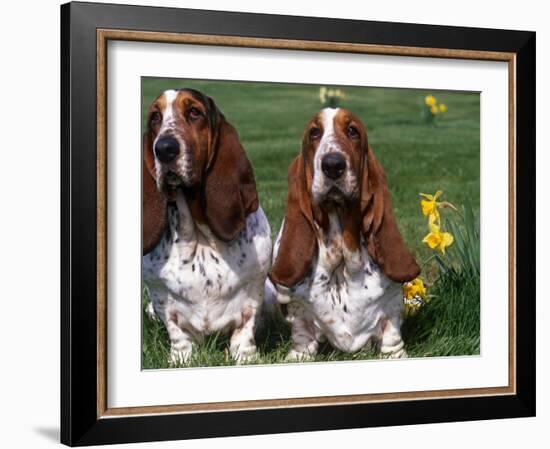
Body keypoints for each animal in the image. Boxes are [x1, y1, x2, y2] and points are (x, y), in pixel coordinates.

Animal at [142, 88, 272, 364]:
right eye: (155, 117)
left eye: (194, 112)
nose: (164, 149)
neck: (200, 238)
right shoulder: (159, 295)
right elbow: (176, 330)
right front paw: (181, 359)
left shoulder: (254, 289)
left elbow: (245, 327)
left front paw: (245, 357)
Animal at [270, 107, 420, 358]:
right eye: (314, 133)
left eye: (353, 131)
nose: (332, 165)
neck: (342, 259)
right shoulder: (296, 307)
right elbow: (302, 335)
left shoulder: (391, 306)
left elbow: (392, 337)